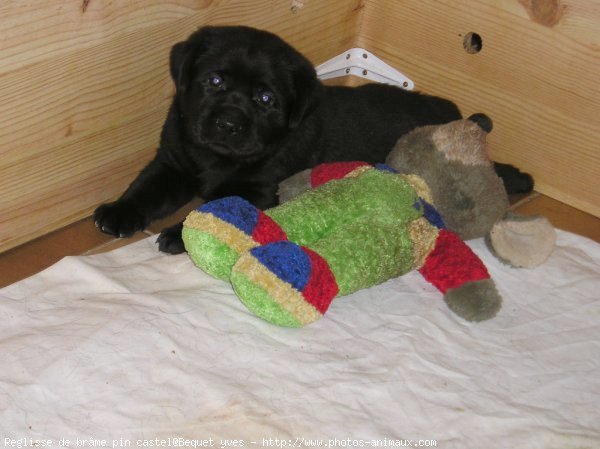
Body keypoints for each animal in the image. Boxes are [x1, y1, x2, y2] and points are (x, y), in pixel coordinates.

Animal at [94, 26, 528, 254]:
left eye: (266, 99)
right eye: (214, 81)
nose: (229, 124)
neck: (214, 159)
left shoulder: (260, 188)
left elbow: (217, 204)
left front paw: (178, 233)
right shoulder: (173, 160)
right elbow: (145, 188)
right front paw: (118, 212)